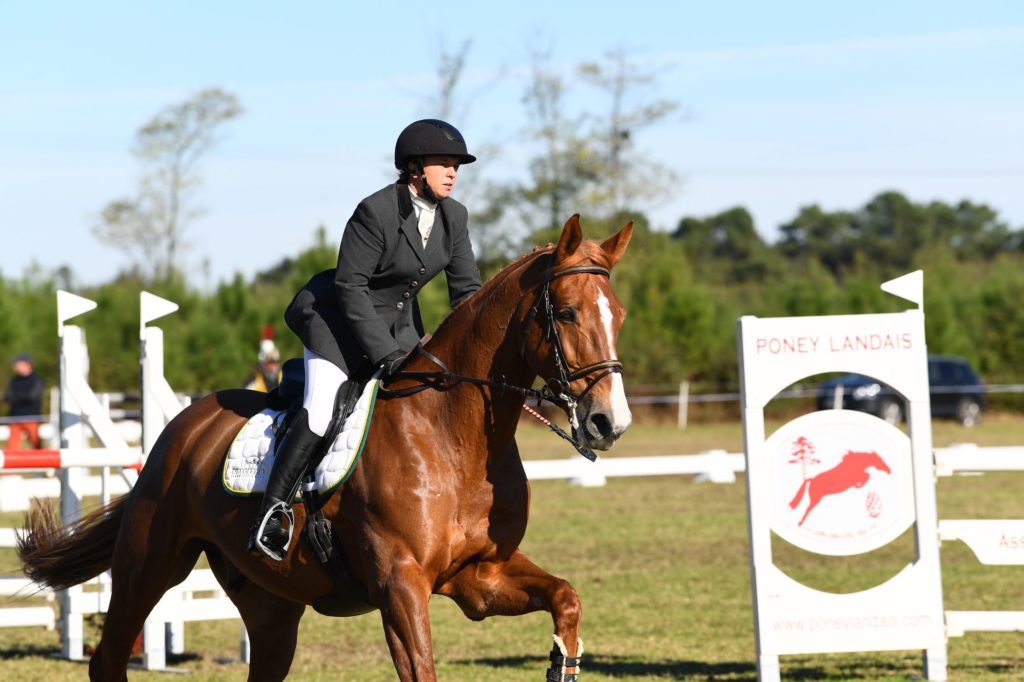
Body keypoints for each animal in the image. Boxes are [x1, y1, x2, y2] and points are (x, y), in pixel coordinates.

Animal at [18, 215, 630, 675]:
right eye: (567, 312)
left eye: (619, 315)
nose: (610, 422)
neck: (458, 441)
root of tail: (181, 426)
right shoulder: (400, 585)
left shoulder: (478, 577)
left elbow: (566, 597)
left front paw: (563, 658)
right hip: (149, 565)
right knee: (109, 656)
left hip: (270, 606)